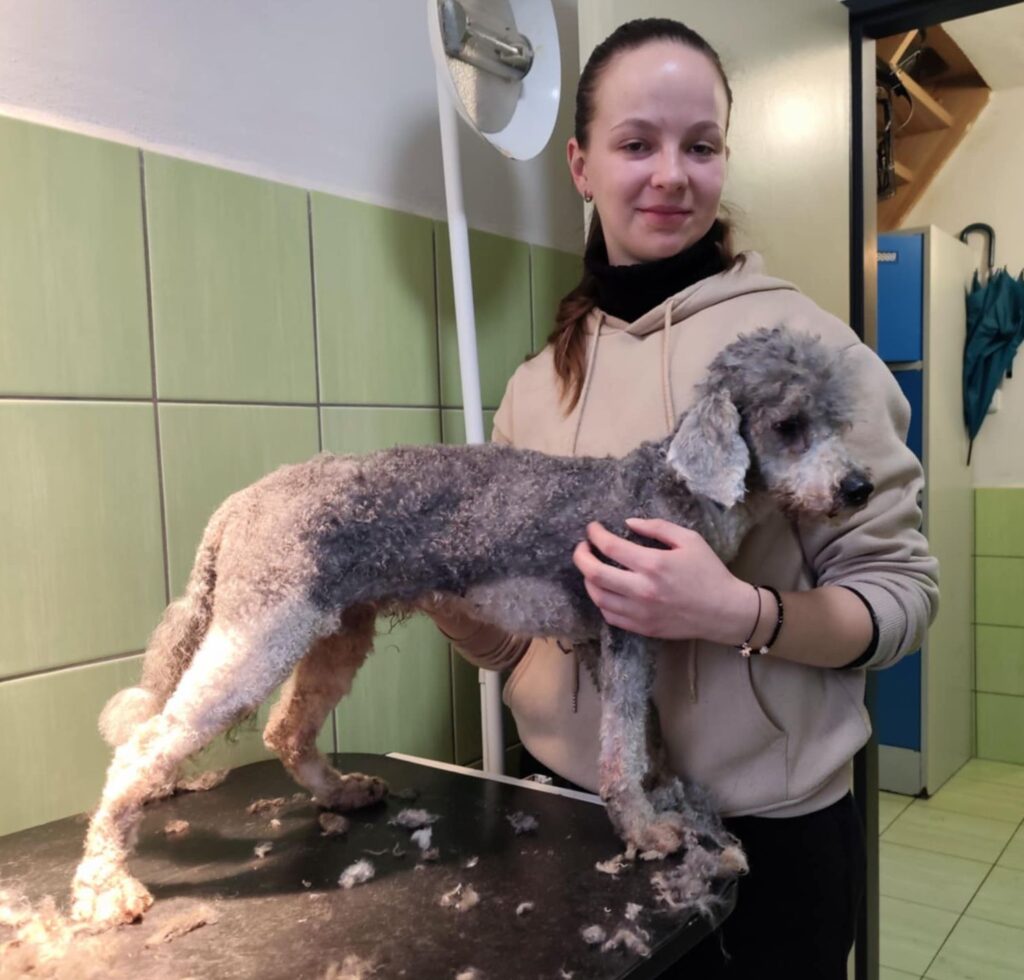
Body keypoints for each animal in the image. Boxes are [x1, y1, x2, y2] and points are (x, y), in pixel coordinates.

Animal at [69, 325, 871, 928]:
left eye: (840, 421)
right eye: (789, 426)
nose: (860, 486)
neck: (667, 488)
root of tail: (236, 506)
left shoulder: (606, 644)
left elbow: (642, 738)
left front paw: (660, 792)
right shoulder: (622, 634)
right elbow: (620, 751)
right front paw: (646, 829)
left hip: (335, 632)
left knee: (285, 729)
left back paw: (339, 792)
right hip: (259, 632)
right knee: (144, 750)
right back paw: (106, 883)